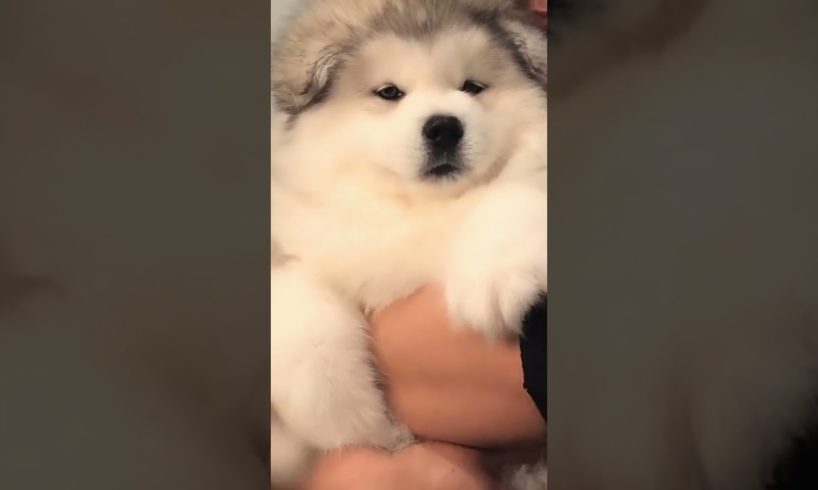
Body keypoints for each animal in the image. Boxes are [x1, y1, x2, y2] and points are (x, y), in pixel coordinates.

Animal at [270, 0, 547, 487]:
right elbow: (302, 337)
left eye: (472, 87)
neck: (422, 210)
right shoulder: (300, 242)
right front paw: (371, 425)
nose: (444, 128)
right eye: (389, 92)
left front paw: (497, 276)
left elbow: (511, 191)